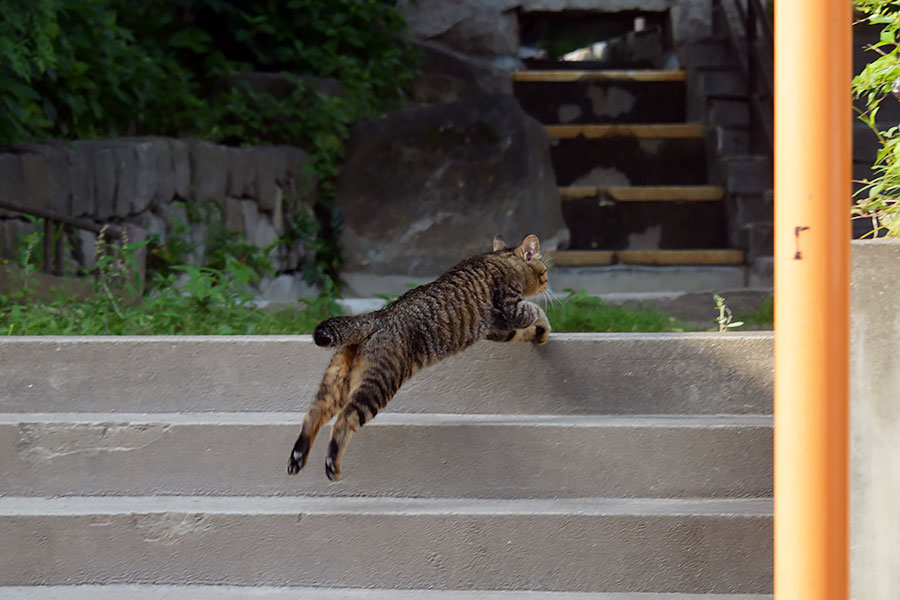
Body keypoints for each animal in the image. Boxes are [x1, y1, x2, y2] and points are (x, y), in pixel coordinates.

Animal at [288, 232, 552, 480]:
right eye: (545, 271)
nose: (547, 282)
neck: (500, 259)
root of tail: (376, 316)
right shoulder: (510, 309)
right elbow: (536, 310)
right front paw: (544, 326)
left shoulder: (495, 328)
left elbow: (522, 331)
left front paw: (538, 334)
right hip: (378, 385)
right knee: (344, 420)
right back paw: (332, 465)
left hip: (335, 382)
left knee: (313, 413)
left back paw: (297, 458)